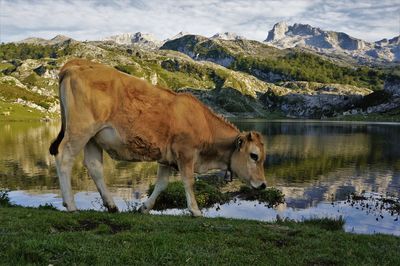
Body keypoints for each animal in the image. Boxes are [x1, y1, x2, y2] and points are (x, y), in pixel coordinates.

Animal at [50, 58, 268, 216]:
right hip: (80, 130)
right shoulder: (185, 153)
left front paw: (144, 208)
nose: (264, 184)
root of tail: (76, 63)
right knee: (64, 157)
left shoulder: (166, 157)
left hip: (94, 137)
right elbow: (188, 181)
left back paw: (111, 205)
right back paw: (70, 205)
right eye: (254, 156)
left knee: (94, 166)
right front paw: (195, 211)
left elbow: (161, 184)